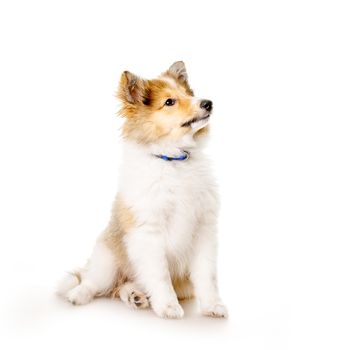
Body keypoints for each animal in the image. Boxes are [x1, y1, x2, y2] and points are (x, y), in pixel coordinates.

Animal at [57, 61, 227, 318]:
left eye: (189, 94)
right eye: (169, 102)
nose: (208, 103)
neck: (173, 161)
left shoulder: (203, 229)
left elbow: (207, 275)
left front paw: (212, 306)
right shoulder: (148, 232)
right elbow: (160, 275)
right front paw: (168, 306)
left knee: (124, 285)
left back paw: (135, 296)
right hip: (108, 257)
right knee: (94, 281)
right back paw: (78, 295)